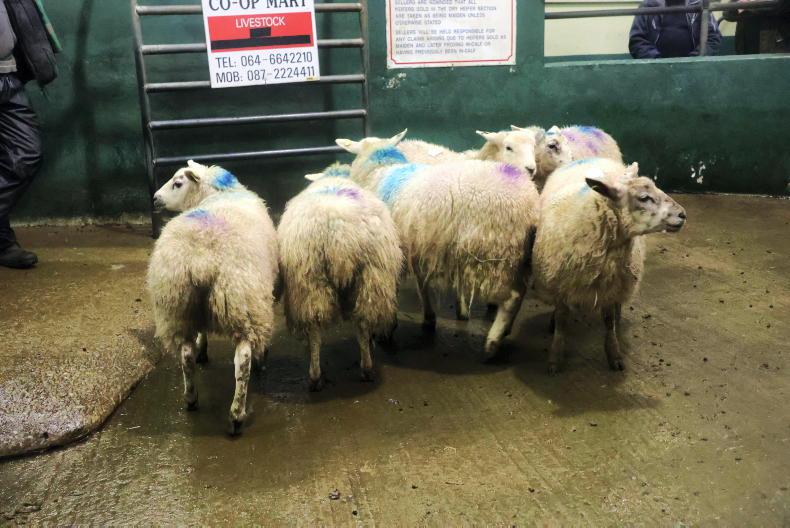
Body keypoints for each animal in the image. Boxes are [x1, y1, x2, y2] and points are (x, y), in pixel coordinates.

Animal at [147, 160, 278, 434]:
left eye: (178, 183)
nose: (155, 198)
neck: (220, 192)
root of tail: (201, 260)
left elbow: (201, 333)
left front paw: (202, 350)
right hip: (242, 301)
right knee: (243, 361)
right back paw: (236, 414)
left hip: (178, 305)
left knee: (185, 355)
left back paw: (191, 398)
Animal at [278, 174, 403, 390]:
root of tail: (340, 234)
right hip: (370, 276)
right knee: (362, 324)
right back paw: (366, 369)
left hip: (310, 282)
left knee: (315, 331)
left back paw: (315, 377)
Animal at [336, 131, 541, 360]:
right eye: (508, 147)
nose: (531, 169)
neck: (380, 172)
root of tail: (531, 203)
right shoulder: (416, 246)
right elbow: (421, 282)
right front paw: (429, 317)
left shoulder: (391, 252)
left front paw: (387, 330)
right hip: (518, 255)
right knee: (520, 292)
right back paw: (504, 331)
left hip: (496, 253)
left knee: (512, 298)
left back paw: (492, 343)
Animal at [532, 158, 686, 374]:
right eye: (644, 197)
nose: (683, 214)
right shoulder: (562, 282)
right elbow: (562, 319)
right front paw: (555, 357)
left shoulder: (611, 287)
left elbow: (608, 320)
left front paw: (614, 354)